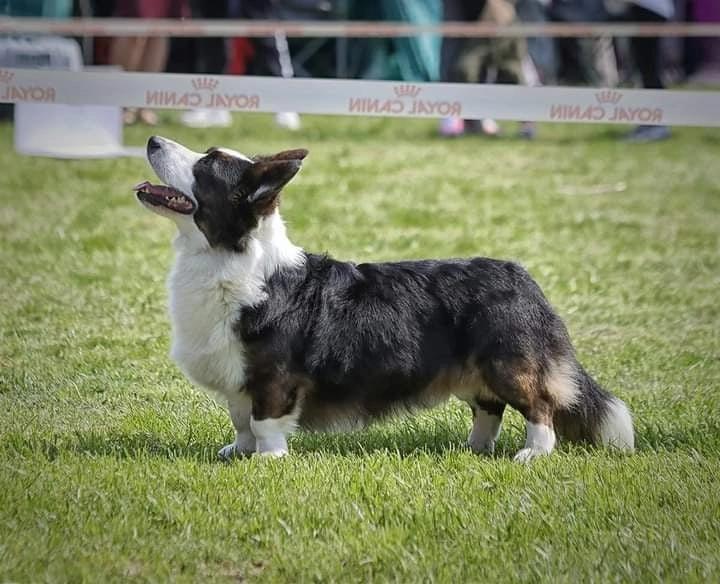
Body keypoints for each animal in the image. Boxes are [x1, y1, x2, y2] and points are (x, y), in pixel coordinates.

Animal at [132, 136, 632, 460]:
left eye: (205, 167)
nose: (152, 139)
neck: (225, 257)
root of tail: (523, 277)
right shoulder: (237, 375)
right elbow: (240, 420)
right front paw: (236, 452)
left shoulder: (272, 377)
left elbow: (263, 421)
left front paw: (266, 459)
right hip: (475, 372)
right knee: (488, 408)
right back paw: (472, 449)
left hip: (507, 363)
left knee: (538, 406)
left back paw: (533, 454)